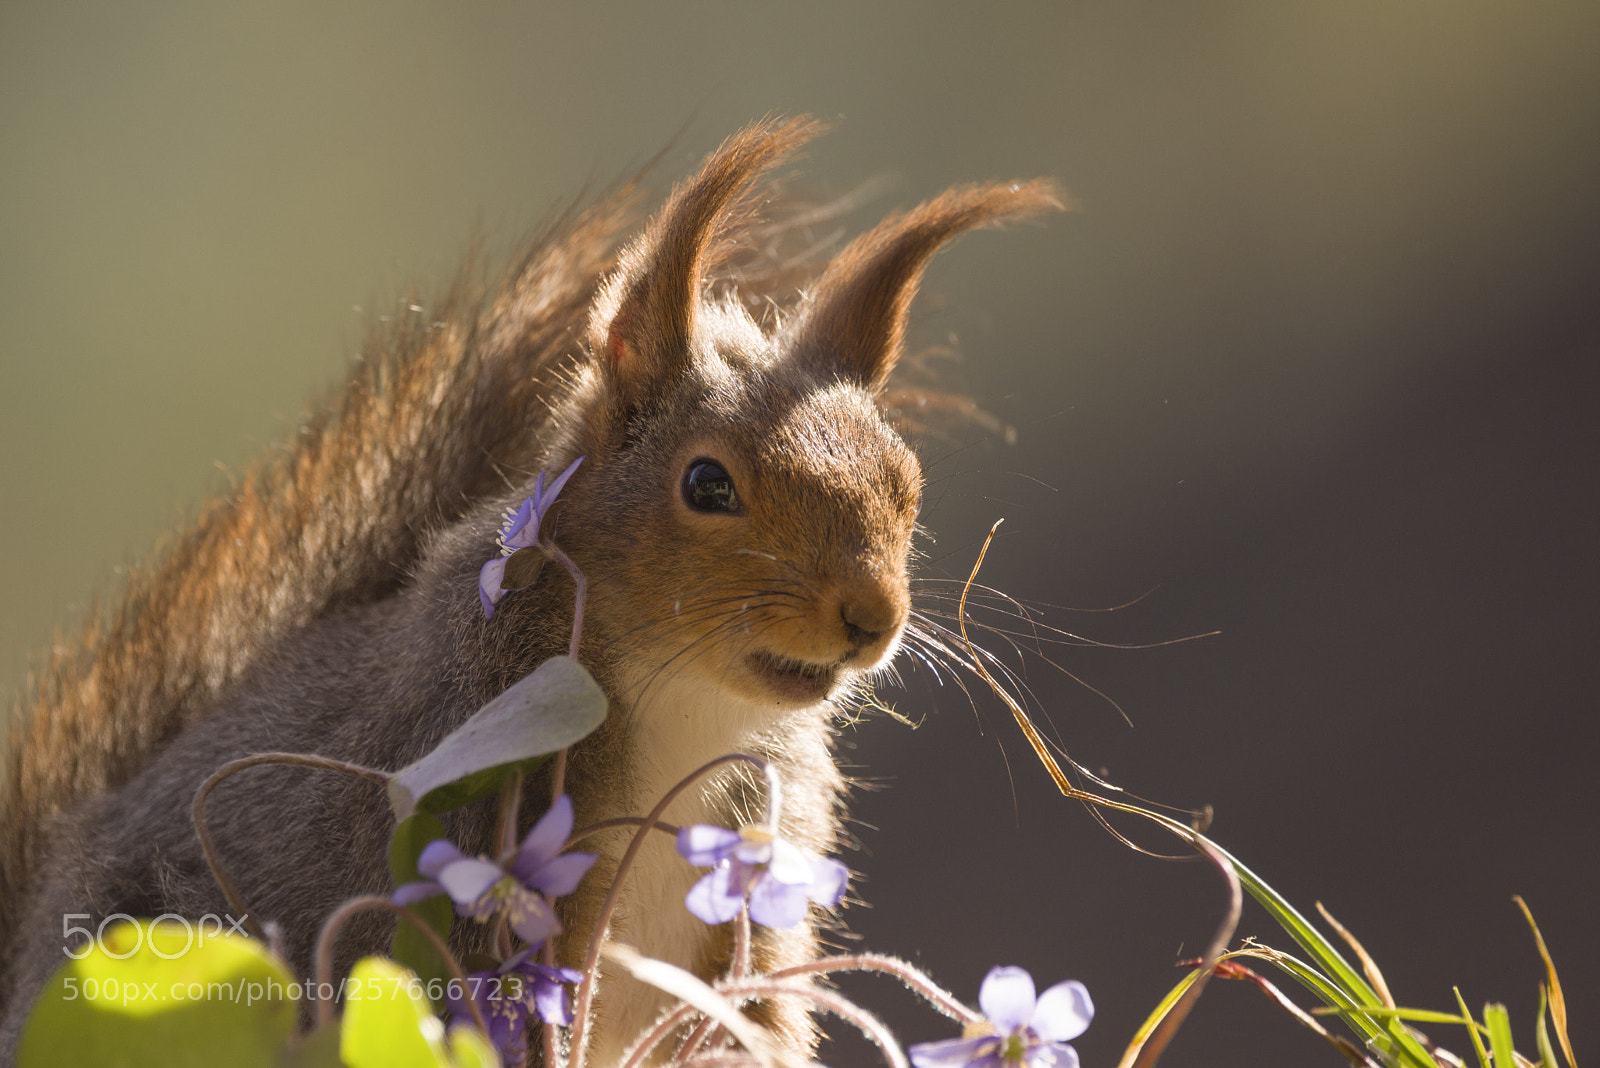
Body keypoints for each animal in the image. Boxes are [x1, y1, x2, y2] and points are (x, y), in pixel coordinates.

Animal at [0, 116, 1062, 1063]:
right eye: (707, 485)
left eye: (906, 485)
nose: (872, 618)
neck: (688, 704)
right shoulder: (467, 843)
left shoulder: (759, 885)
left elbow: (756, 1023)